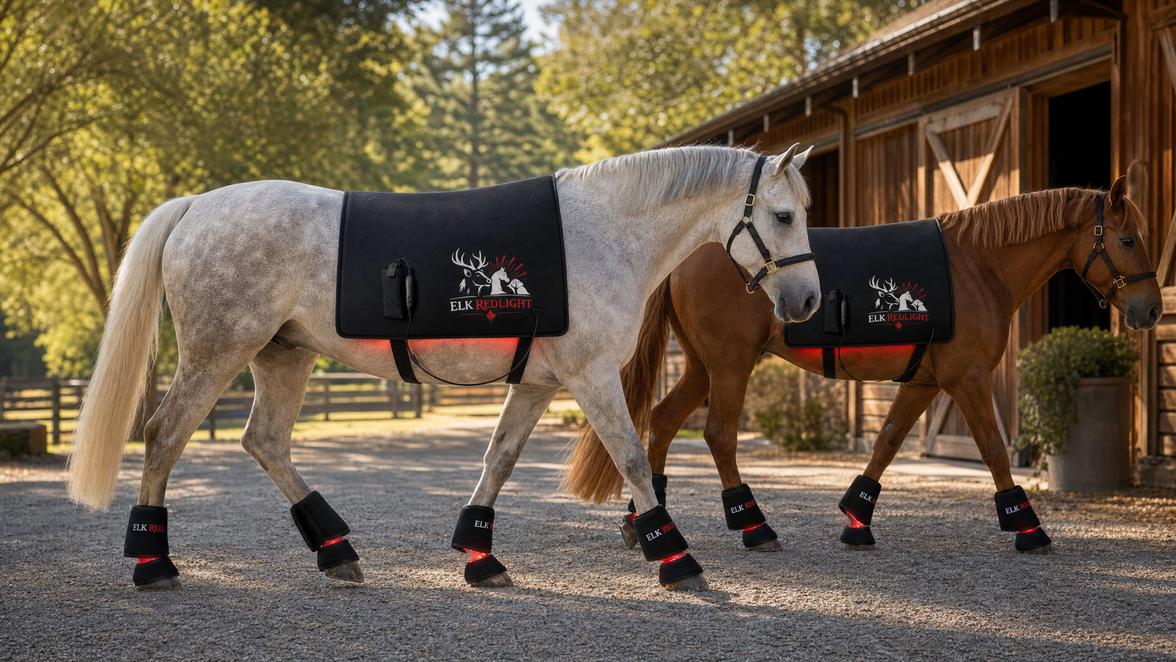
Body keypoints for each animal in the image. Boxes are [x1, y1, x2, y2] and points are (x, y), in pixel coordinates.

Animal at [66, 144, 822, 591]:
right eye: (784, 215)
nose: (808, 301)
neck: (602, 233)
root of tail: (197, 205)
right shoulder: (590, 377)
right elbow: (633, 459)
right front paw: (676, 558)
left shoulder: (538, 384)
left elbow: (499, 460)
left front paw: (478, 555)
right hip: (217, 352)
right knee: (164, 436)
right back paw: (154, 563)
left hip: (284, 355)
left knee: (265, 442)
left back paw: (336, 550)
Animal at [563, 181, 1161, 557]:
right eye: (1128, 239)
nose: (1151, 310)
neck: (977, 267)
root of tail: (690, 253)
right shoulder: (967, 379)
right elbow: (993, 450)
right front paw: (1027, 527)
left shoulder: (925, 382)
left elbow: (886, 442)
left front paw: (857, 519)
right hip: (729, 364)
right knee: (718, 436)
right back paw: (753, 526)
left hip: (703, 367)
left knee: (664, 422)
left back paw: (645, 519)